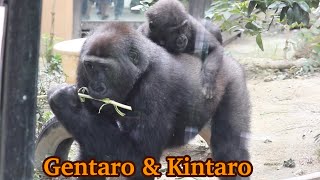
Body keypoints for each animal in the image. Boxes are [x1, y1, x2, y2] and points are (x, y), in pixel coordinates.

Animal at [48, 22, 251, 180]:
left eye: (105, 68)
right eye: (90, 66)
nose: (96, 88)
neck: (141, 70)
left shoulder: (156, 85)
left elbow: (140, 158)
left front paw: (64, 102)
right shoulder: (82, 70)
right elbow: (92, 150)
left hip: (234, 78)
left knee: (229, 150)